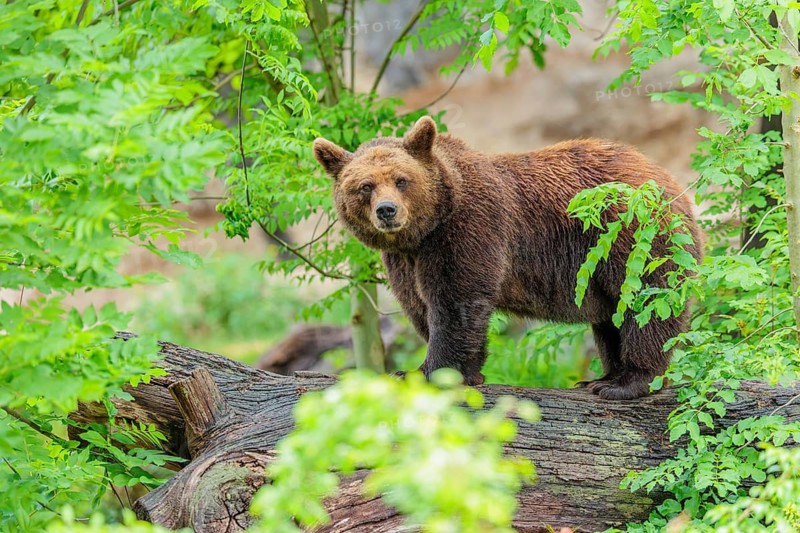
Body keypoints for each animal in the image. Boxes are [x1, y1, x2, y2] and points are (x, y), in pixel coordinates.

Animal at [312, 116, 702, 400]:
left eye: (401, 179)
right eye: (365, 186)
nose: (387, 211)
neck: (428, 227)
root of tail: (667, 179)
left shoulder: (471, 228)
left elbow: (456, 302)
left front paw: (427, 372)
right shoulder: (405, 257)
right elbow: (420, 303)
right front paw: (464, 372)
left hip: (630, 238)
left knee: (645, 302)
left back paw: (626, 383)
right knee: (610, 318)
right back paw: (602, 377)